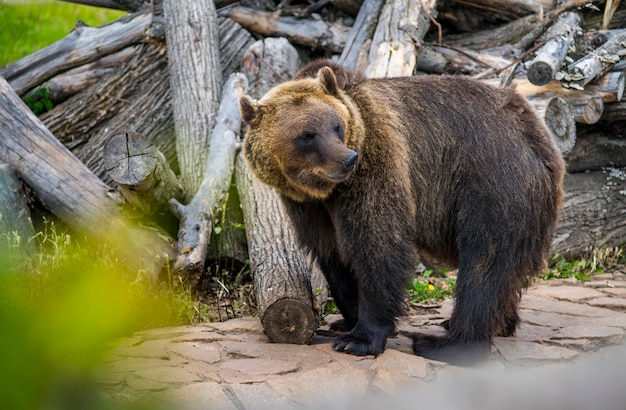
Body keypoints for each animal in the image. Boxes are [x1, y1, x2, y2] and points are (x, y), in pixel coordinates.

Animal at [236, 59, 564, 364]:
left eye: (336, 126)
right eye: (307, 135)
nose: (348, 159)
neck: (326, 191)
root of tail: (538, 136)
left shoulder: (376, 163)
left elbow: (378, 242)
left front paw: (360, 339)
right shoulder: (308, 205)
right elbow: (332, 252)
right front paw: (347, 320)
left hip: (492, 184)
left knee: (485, 263)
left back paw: (445, 342)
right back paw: (497, 323)